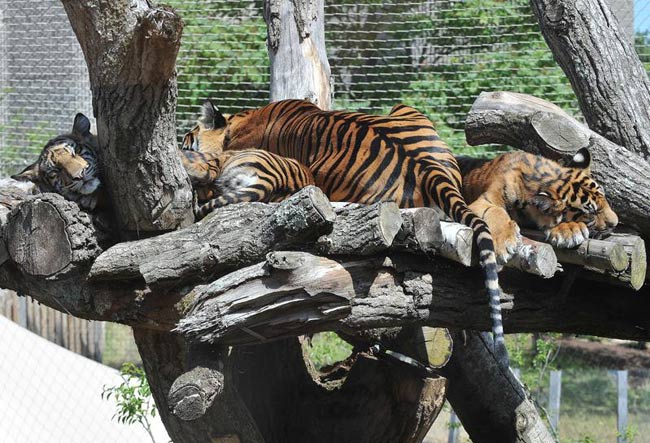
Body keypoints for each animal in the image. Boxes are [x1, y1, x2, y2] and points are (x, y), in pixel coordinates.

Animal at [456, 149, 618, 260]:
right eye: (592, 213)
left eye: (605, 198)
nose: (615, 224)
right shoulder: (483, 201)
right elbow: (496, 212)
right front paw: (504, 243)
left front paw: (570, 229)